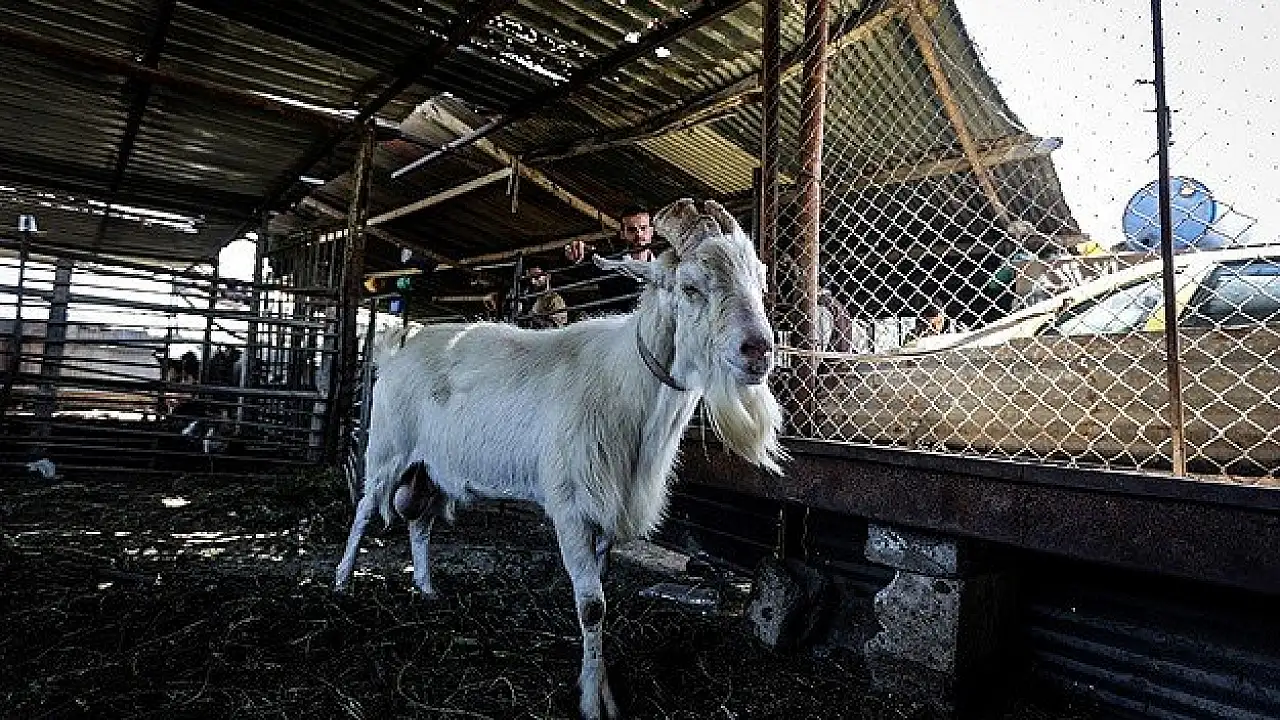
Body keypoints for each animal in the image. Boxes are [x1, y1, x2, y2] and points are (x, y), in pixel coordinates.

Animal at [334, 199, 785, 720]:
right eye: (690, 287)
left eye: (759, 279)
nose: (759, 350)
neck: (628, 387)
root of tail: (397, 348)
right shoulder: (571, 505)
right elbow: (592, 606)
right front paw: (592, 700)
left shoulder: (606, 510)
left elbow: (603, 593)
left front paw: (603, 684)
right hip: (387, 450)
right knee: (363, 511)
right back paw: (342, 583)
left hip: (430, 470)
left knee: (420, 523)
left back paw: (427, 589)